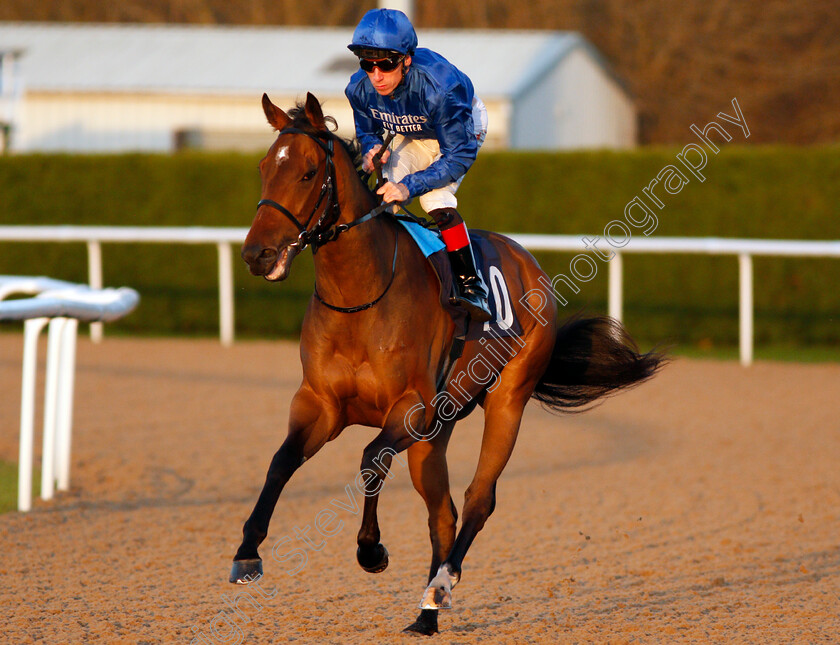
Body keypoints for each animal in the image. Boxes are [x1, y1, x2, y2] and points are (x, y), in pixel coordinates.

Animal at [231, 92, 664, 632]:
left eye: (309, 173)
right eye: (265, 167)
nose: (257, 254)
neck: (360, 296)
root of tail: (528, 261)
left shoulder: (410, 409)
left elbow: (371, 460)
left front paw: (371, 550)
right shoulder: (320, 404)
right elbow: (281, 462)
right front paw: (247, 552)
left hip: (506, 402)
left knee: (479, 499)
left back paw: (440, 584)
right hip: (438, 430)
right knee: (444, 512)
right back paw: (426, 614)